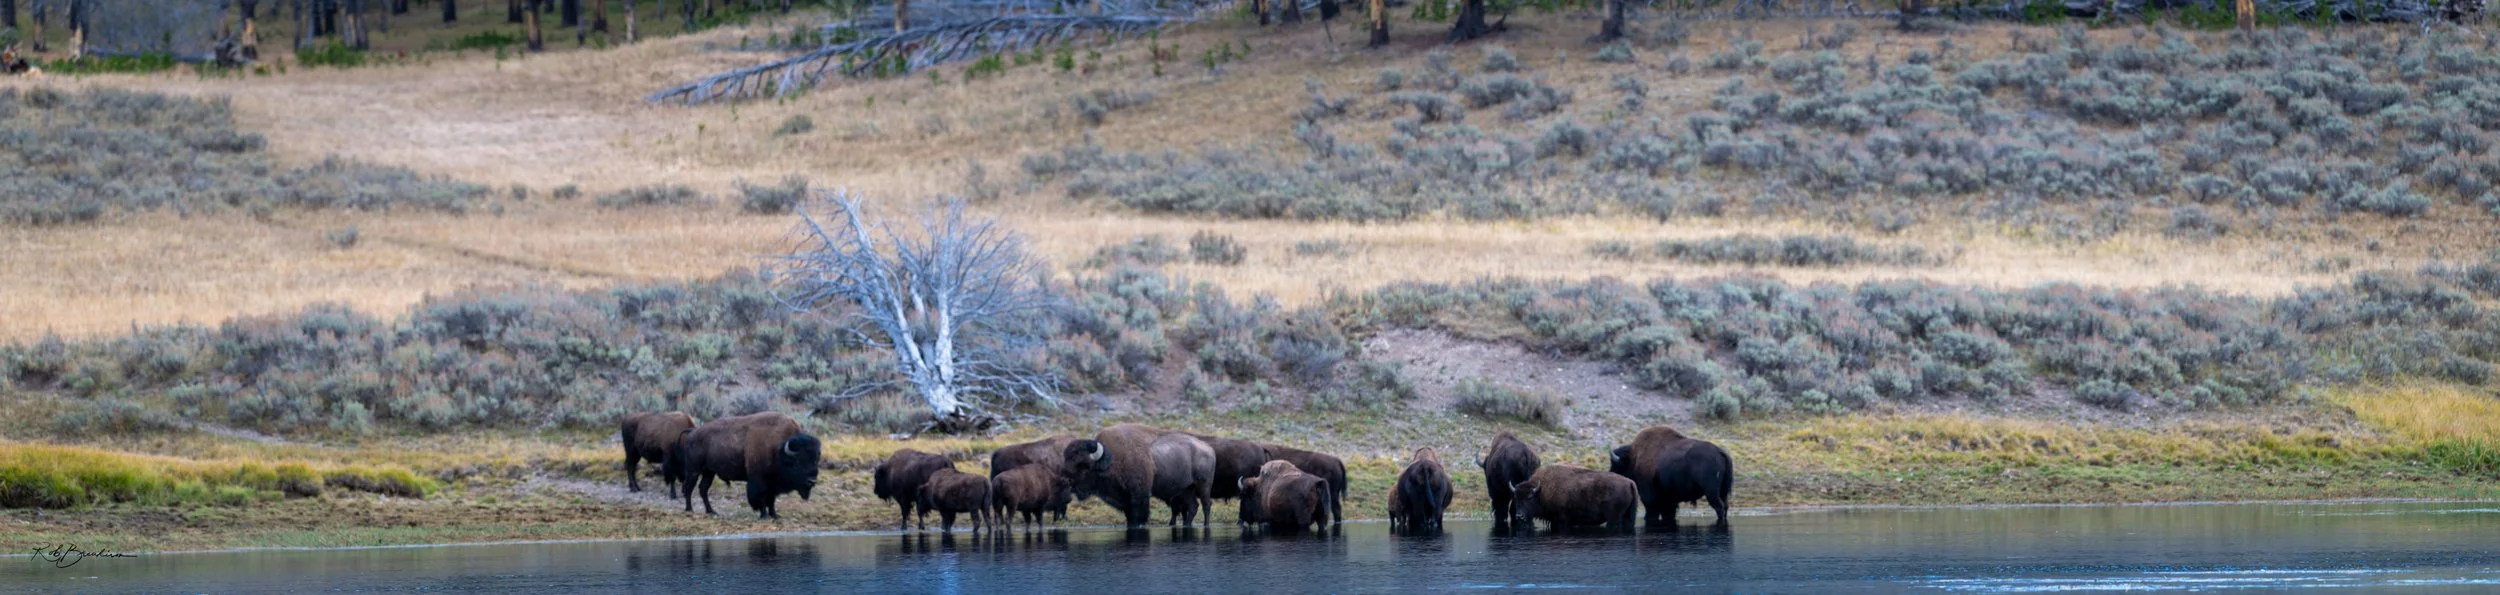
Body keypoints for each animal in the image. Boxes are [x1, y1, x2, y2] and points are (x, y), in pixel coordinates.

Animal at [677, 412, 822, 519]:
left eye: (815, 460)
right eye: (798, 462)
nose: (812, 481)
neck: (778, 449)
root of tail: (693, 432)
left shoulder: (772, 484)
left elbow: (772, 500)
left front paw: (775, 515)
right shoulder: (759, 480)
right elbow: (761, 498)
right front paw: (764, 516)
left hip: (709, 472)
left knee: (703, 489)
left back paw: (711, 511)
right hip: (693, 470)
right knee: (689, 488)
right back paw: (689, 510)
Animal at [1509, 464, 1637, 530]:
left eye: (1529, 497)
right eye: (1515, 498)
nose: (1519, 516)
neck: (1542, 490)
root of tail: (1630, 482)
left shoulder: (1561, 520)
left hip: (1614, 519)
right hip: (1627, 517)